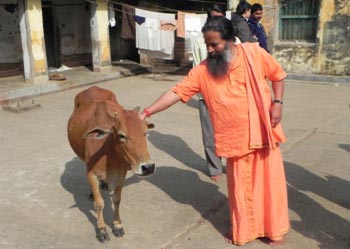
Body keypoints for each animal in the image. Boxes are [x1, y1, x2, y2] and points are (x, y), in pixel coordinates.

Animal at [67, 86, 154, 242]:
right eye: (121, 135)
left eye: (145, 132)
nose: (148, 167)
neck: (109, 152)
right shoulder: (91, 173)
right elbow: (99, 203)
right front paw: (102, 230)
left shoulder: (121, 174)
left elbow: (117, 199)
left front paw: (117, 225)